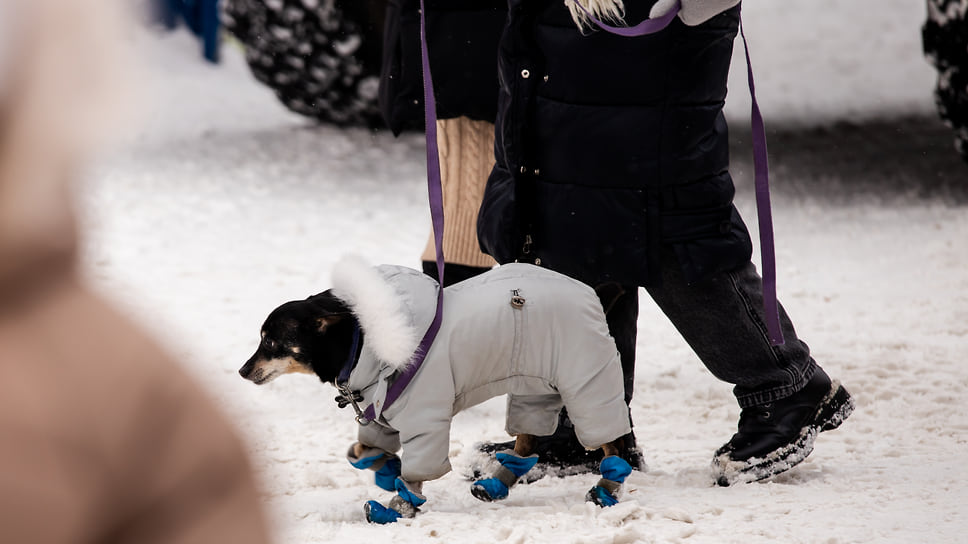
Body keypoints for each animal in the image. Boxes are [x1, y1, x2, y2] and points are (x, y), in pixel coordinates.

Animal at [240, 258, 636, 524]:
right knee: (528, 440)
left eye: (271, 341)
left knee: (612, 444)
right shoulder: (380, 415)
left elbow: (415, 474)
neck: (361, 344)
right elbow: (361, 451)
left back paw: (606, 489)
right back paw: (496, 485)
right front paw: (385, 469)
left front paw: (398, 507)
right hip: (533, 384)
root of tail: (594, 295)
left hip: (585, 381)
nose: (243, 371)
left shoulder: (424, 419)